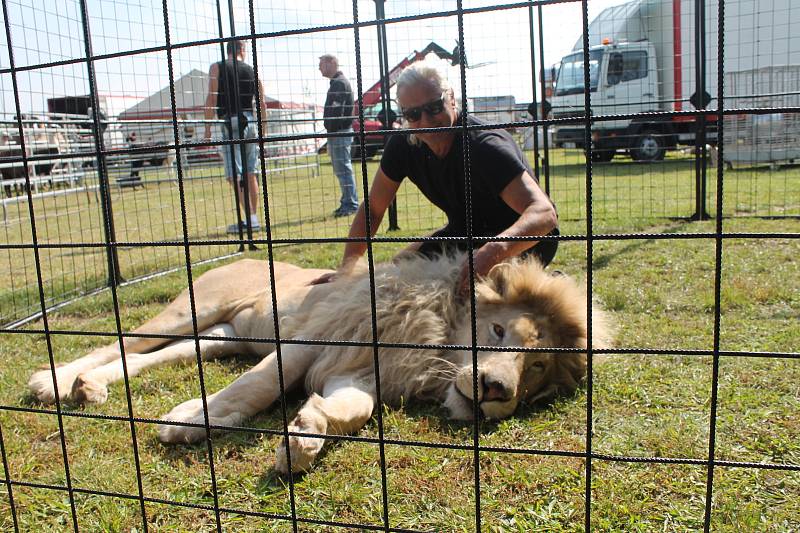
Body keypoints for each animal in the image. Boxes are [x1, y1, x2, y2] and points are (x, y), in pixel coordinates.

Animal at [28, 254, 608, 474]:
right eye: (498, 331)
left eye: (537, 368)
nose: (495, 389)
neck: (431, 345)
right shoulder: (314, 341)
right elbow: (258, 387)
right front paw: (188, 423)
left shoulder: (360, 374)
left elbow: (353, 410)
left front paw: (307, 433)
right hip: (188, 310)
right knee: (118, 342)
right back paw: (53, 381)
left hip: (218, 337)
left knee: (143, 357)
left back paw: (92, 387)